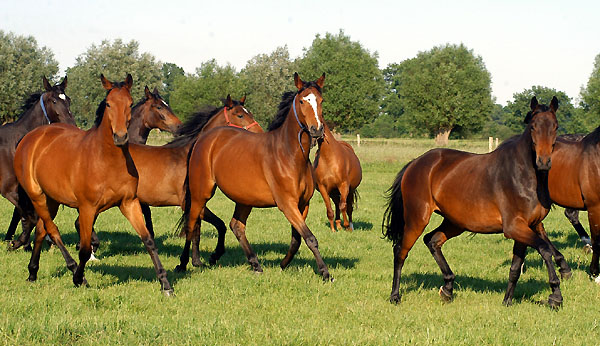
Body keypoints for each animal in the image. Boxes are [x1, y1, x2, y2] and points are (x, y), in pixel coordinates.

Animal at [1, 75, 75, 243]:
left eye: (68, 100)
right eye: (54, 101)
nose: (72, 125)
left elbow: (24, 215)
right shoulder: (10, 190)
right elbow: (28, 215)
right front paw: (19, 241)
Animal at [14, 73, 172, 294]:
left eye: (130, 103)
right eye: (108, 103)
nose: (120, 137)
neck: (107, 159)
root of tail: (31, 137)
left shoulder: (129, 203)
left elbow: (148, 240)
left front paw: (165, 283)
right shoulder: (87, 208)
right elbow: (84, 247)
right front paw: (79, 278)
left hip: (51, 199)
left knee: (40, 229)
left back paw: (32, 272)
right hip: (37, 196)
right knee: (52, 230)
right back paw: (72, 269)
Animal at [177, 73, 332, 282]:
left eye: (321, 101)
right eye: (302, 101)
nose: (317, 130)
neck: (289, 154)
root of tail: (203, 139)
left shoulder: (302, 205)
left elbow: (297, 239)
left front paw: (283, 264)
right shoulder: (287, 204)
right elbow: (310, 238)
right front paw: (325, 272)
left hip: (244, 199)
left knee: (236, 226)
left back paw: (253, 263)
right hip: (201, 193)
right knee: (192, 223)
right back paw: (184, 263)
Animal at [382, 96, 568, 306]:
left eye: (555, 126)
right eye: (533, 127)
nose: (543, 162)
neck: (523, 175)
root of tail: (415, 163)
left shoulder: (530, 226)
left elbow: (516, 268)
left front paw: (507, 301)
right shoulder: (514, 228)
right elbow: (545, 250)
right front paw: (555, 295)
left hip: (455, 222)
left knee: (432, 240)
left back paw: (447, 289)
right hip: (417, 219)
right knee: (401, 251)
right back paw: (395, 296)